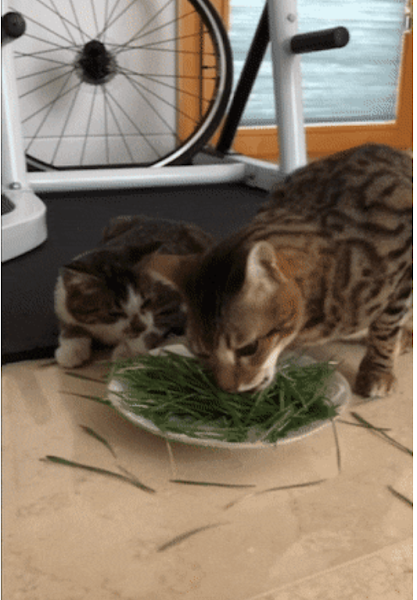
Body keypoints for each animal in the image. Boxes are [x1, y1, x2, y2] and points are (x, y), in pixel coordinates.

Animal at [54, 215, 214, 368]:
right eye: (114, 313)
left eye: (147, 302)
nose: (140, 326)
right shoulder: (62, 295)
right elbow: (70, 324)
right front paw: (70, 351)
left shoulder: (177, 305)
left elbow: (153, 329)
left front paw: (127, 352)